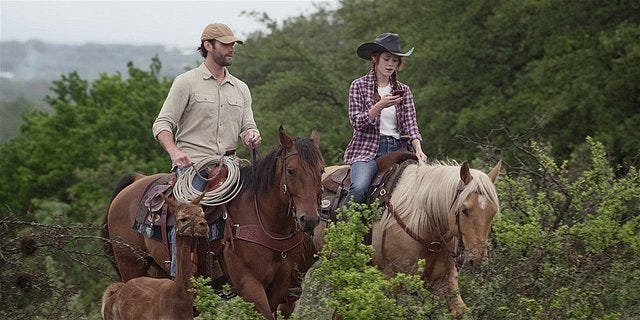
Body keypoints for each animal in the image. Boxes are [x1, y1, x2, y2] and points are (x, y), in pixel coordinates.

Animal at [105, 126, 328, 318]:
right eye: (290, 170)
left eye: (321, 170)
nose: (309, 219)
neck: (266, 221)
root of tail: (135, 182)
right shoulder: (248, 283)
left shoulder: (280, 283)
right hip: (131, 264)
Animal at [314, 160, 500, 318]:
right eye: (464, 210)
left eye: (492, 213)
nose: (477, 260)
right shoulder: (390, 280)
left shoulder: (444, 280)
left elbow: (460, 310)